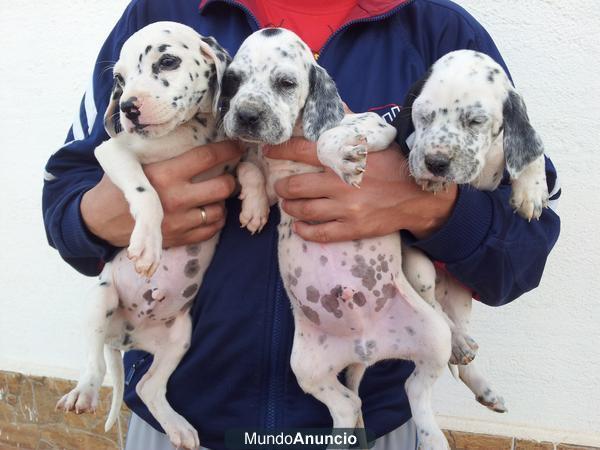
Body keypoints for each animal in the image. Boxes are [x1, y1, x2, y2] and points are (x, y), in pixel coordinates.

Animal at [56, 21, 262, 450]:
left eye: (167, 61)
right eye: (119, 80)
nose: (127, 107)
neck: (189, 133)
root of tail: (126, 338)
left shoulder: (229, 162)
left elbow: (251, 167)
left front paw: (255, 205)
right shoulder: (113, 152)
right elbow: (145, 191)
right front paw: (148, 245)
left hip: (180, 337)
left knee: (148, 387)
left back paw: (179, 427)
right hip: (100, 302)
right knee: (94, 362)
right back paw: (83, 392)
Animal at [223, 28, 452, 450]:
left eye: (285, 83)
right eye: (234, 80)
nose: (245, 116)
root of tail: (367, 346)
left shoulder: (375, 128)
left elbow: (328, 137)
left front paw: (338, 154)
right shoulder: (268, 172)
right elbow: (250, 167)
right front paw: (254, 209)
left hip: (436, 335)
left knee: (414, 391)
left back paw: (432, 438)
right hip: (306, 367)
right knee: (348, 403)